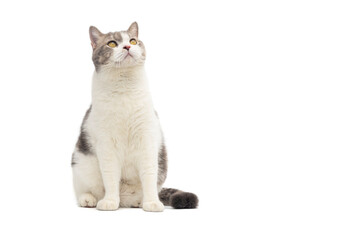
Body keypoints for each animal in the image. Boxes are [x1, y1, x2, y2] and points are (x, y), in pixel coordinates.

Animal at [71, 21, 198, 211]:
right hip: (81, 164)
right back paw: (89, 199)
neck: (124, 87)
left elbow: (149, 176)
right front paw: (110, 201)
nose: (127, 46)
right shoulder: (107, 145)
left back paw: (139, 201)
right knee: (87, 190)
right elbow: (110, 177)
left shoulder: (147, 141)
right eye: (112, 44)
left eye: (133, 40)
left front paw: (152, 203)